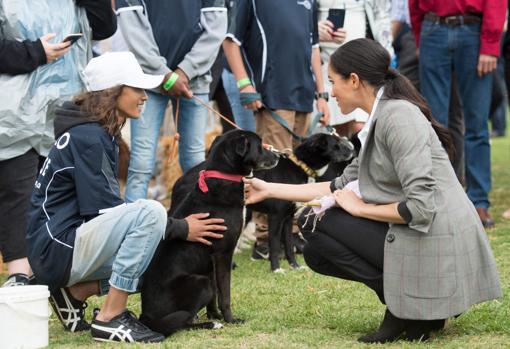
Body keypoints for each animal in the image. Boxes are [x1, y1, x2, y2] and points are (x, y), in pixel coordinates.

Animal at [139, 130, 278, 334]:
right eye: (259, 146)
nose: (279, 156)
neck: (223, 176)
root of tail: (146, 317)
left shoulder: (210, 261)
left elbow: (215, 294)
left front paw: (215, 315)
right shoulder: (223, 254)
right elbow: (224, 294)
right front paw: (229, 319)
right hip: (200, 283)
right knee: (183, 322)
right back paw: (209, 325)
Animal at [171, 132, 354, 270]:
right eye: (337, 143)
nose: (352, 148)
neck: (300, 166)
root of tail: (180, 180)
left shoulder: (288, 218)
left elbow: (289, 245)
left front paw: (294, 266)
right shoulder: (275, 217)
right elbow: (274, 245)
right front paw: (276, 269)